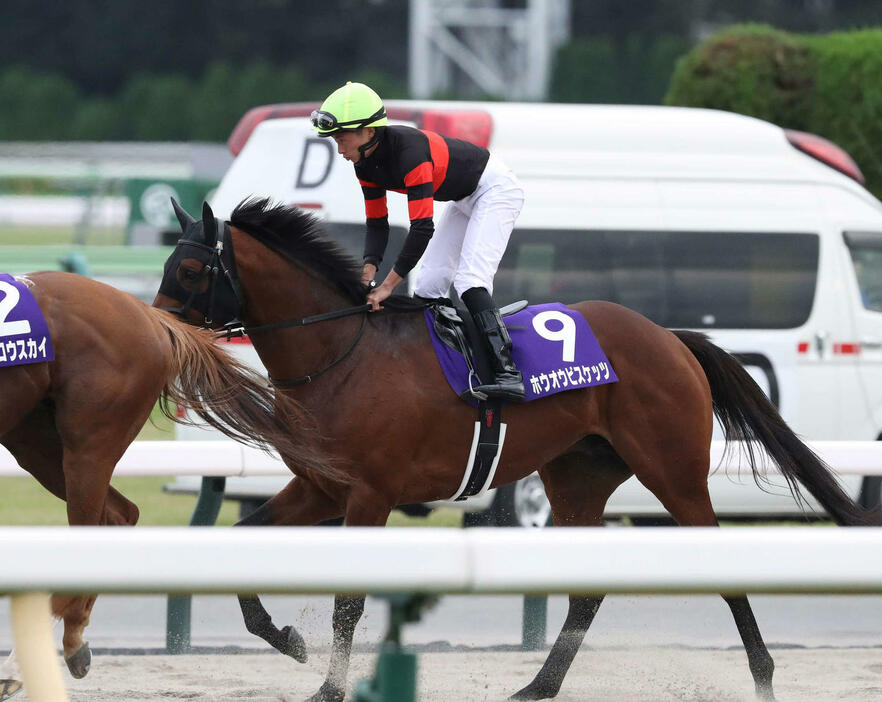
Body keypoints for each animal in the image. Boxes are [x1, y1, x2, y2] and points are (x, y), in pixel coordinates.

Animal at [0, 270, 328, 692]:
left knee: (97, 525)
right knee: (119, 515)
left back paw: (20, 665)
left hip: (87, 443)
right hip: (34, 440)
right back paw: (72, 642)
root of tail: (151, 317)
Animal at [155, 199, 876, 702]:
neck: (341, 352)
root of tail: (670, 336)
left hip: (672, 470)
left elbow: (350, 601)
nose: (156, 332)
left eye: (189, 269)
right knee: (586, 593)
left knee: (723, 569)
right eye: (166, 265)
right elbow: (243, 542)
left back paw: (763, 675)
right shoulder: (320, 487)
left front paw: (329, 686)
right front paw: (288, 640)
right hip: (577, 478)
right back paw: (538, 685)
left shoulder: (370, 495)